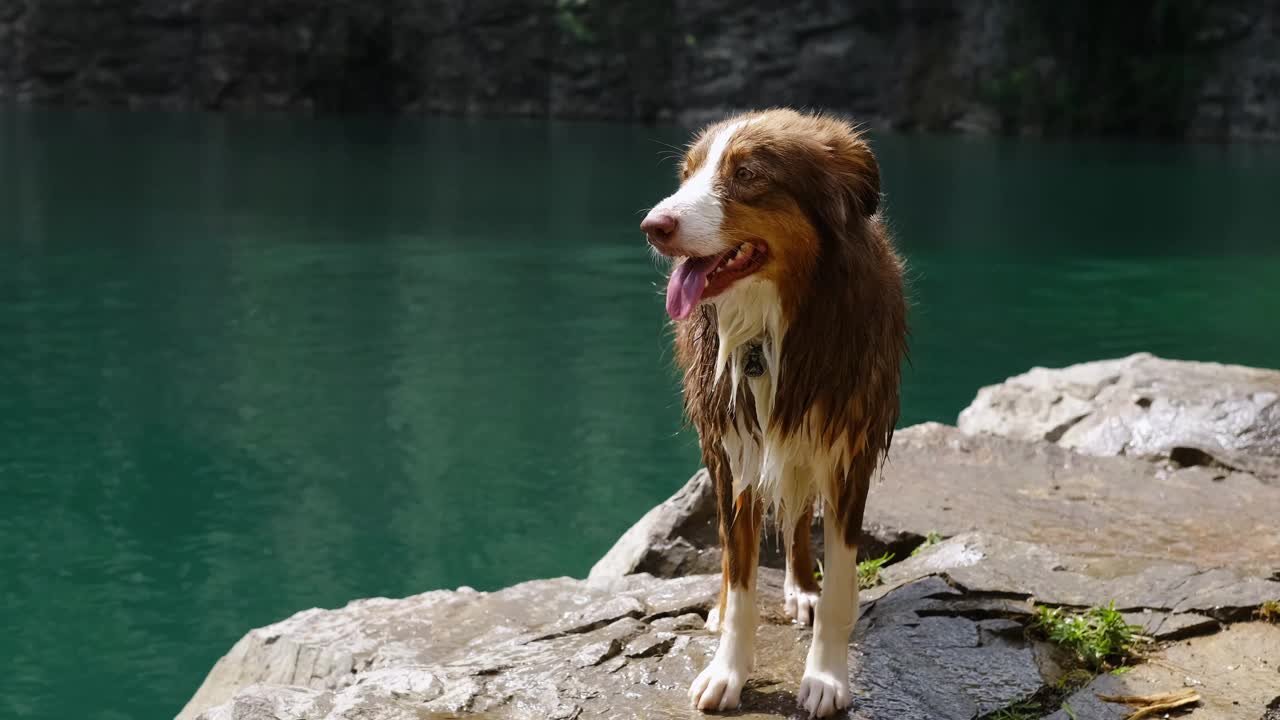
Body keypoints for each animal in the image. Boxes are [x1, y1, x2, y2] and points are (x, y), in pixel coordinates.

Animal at [645, 106, 906, 712]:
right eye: (686, 175)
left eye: (746, 175)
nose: (652, 225)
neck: (776, 323)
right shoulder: (738, 450)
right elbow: (739, 572)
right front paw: (728, 671)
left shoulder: (847, 449)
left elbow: (839, 578)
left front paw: (826, 676)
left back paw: (801, 588)